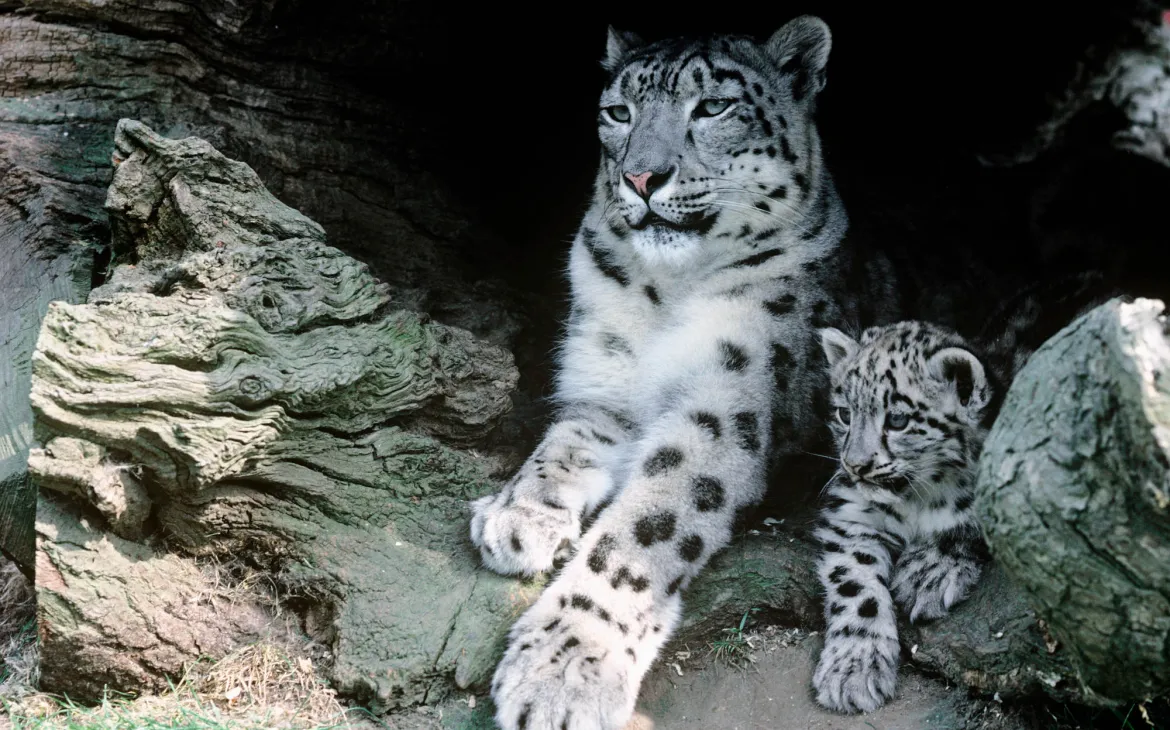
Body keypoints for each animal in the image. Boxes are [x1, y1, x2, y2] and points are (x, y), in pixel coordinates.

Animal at [466, 15, 872, 730]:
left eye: (713, 107)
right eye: (617, 112)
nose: (641, 176)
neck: (666, 290)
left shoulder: (727, 406)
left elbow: (641, 534)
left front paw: (566, 666)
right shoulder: (604, 385)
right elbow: (560, 447)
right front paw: (516, 514)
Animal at [811, 320, 995, 714]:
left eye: (897, 419)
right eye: (845, 414)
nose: (855, 465)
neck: (916, 498)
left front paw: (927, 573)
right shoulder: (852, 514)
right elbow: (854, 581)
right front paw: (853, 667)